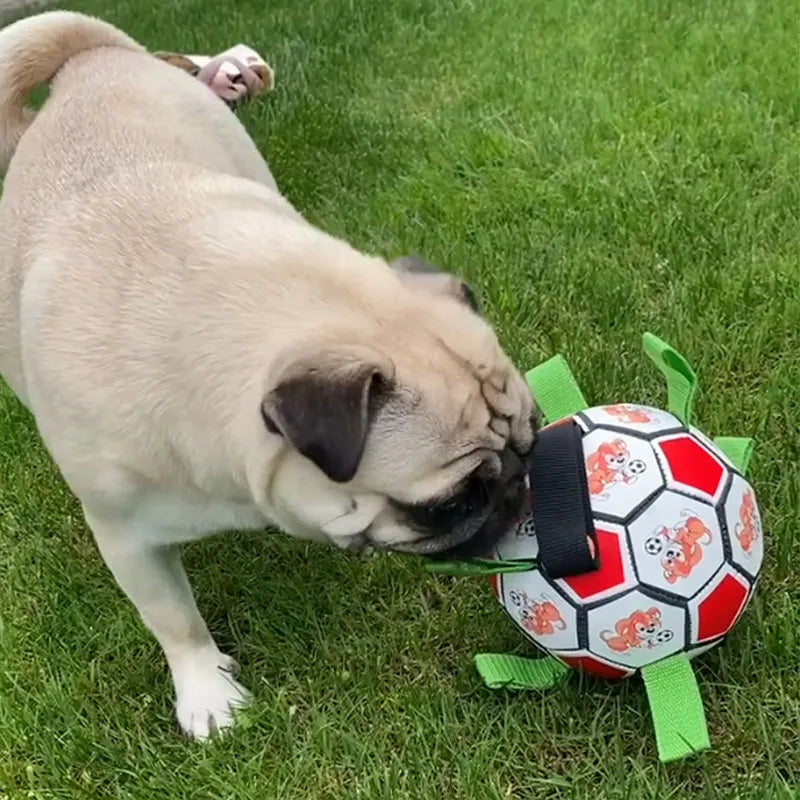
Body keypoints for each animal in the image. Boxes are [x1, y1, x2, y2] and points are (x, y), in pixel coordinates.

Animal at [0, 12, 536, 736]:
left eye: (535, 436)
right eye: (447, 505)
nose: (519, 487)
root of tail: (90, 57)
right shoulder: (124, 535)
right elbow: (172, 619)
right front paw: (206, 692)